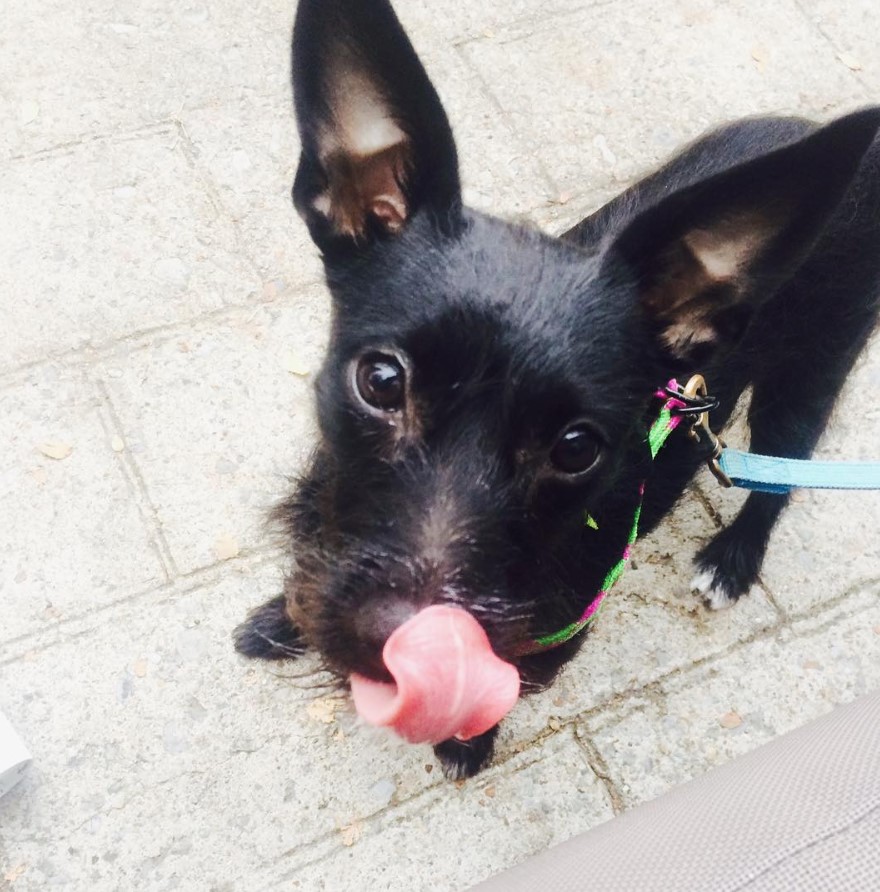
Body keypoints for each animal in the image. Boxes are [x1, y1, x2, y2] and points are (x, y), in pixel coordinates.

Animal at [234, 0, 880, 780]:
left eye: (577, 448)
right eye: (380, 381)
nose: (405, 650)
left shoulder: (547, 640)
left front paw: (467, 739)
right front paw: (281, 620)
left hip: (812, 369)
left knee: (780, 477)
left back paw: (734, 559)